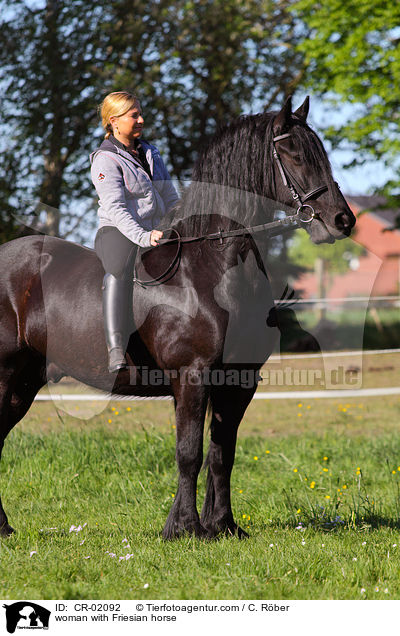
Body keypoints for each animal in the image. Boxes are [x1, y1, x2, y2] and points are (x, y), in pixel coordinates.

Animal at [0, 97, 354, 540]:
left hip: (25, 381)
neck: (210, 268)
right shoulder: (192, 376)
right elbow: (189, 453)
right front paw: (186, 527)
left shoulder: (239, 381)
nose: (342, 220)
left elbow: (222, 453)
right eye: (294, 153)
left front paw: (223, 525)